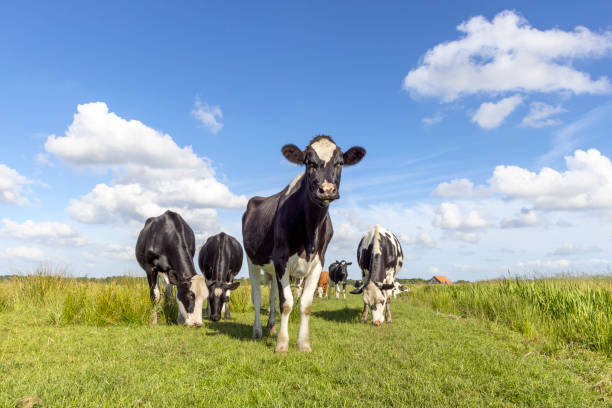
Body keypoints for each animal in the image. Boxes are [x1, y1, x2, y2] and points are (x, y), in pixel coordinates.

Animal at [243, 135, 368, 352]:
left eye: (340, 163)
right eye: (309, 162)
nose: (327, 190)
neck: (311, 230)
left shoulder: (318, 262)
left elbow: (305, 303)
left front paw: (303, 343)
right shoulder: (281, 259)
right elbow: (287, 302)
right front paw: (282, 345)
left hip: (270, 269)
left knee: (272, 295)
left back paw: (271, 327)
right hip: (253, 261)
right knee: (257, 296)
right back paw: (257, 330)